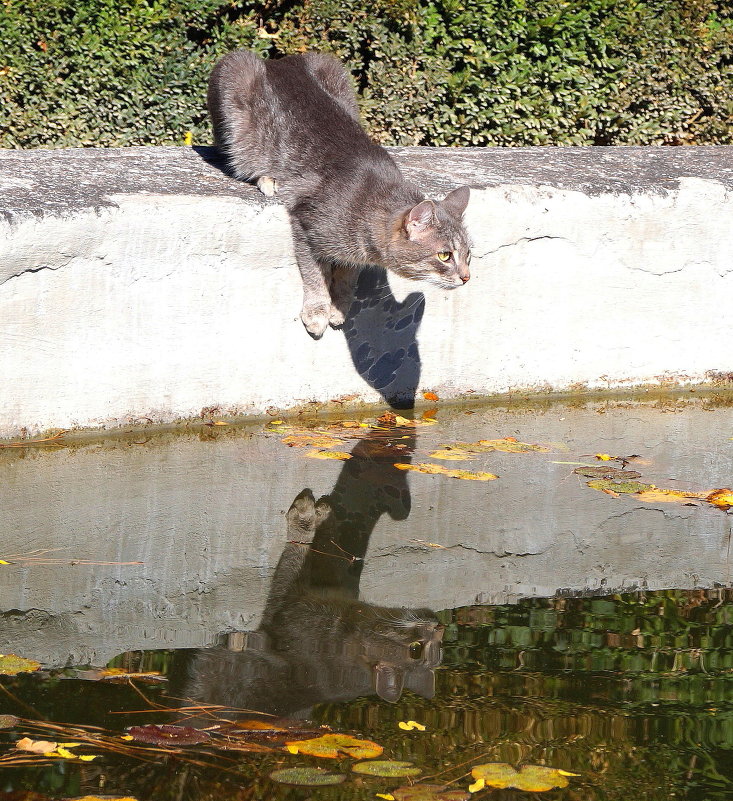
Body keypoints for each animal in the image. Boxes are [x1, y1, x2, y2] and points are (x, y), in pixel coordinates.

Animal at [207, 50, 468, 338]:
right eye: (445, 255)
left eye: (468, 253)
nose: (467, 276)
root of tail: (276, 60)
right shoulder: (306, 227)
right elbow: (315, 275)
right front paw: (317, 311)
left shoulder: (353, 254)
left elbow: (346, 278)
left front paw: (340, 308)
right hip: (236, 74)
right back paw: (266, 177)